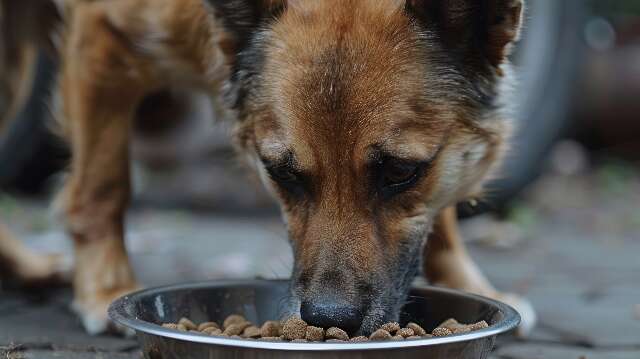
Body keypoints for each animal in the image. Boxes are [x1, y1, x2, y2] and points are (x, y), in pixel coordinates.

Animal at [1, 0, 536, 338]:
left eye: (401, 172)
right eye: (282, 172)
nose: (328, 318)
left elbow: (439, 215)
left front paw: (468, 284)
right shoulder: (103, 36)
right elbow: (103, 185)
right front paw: (106, 289)